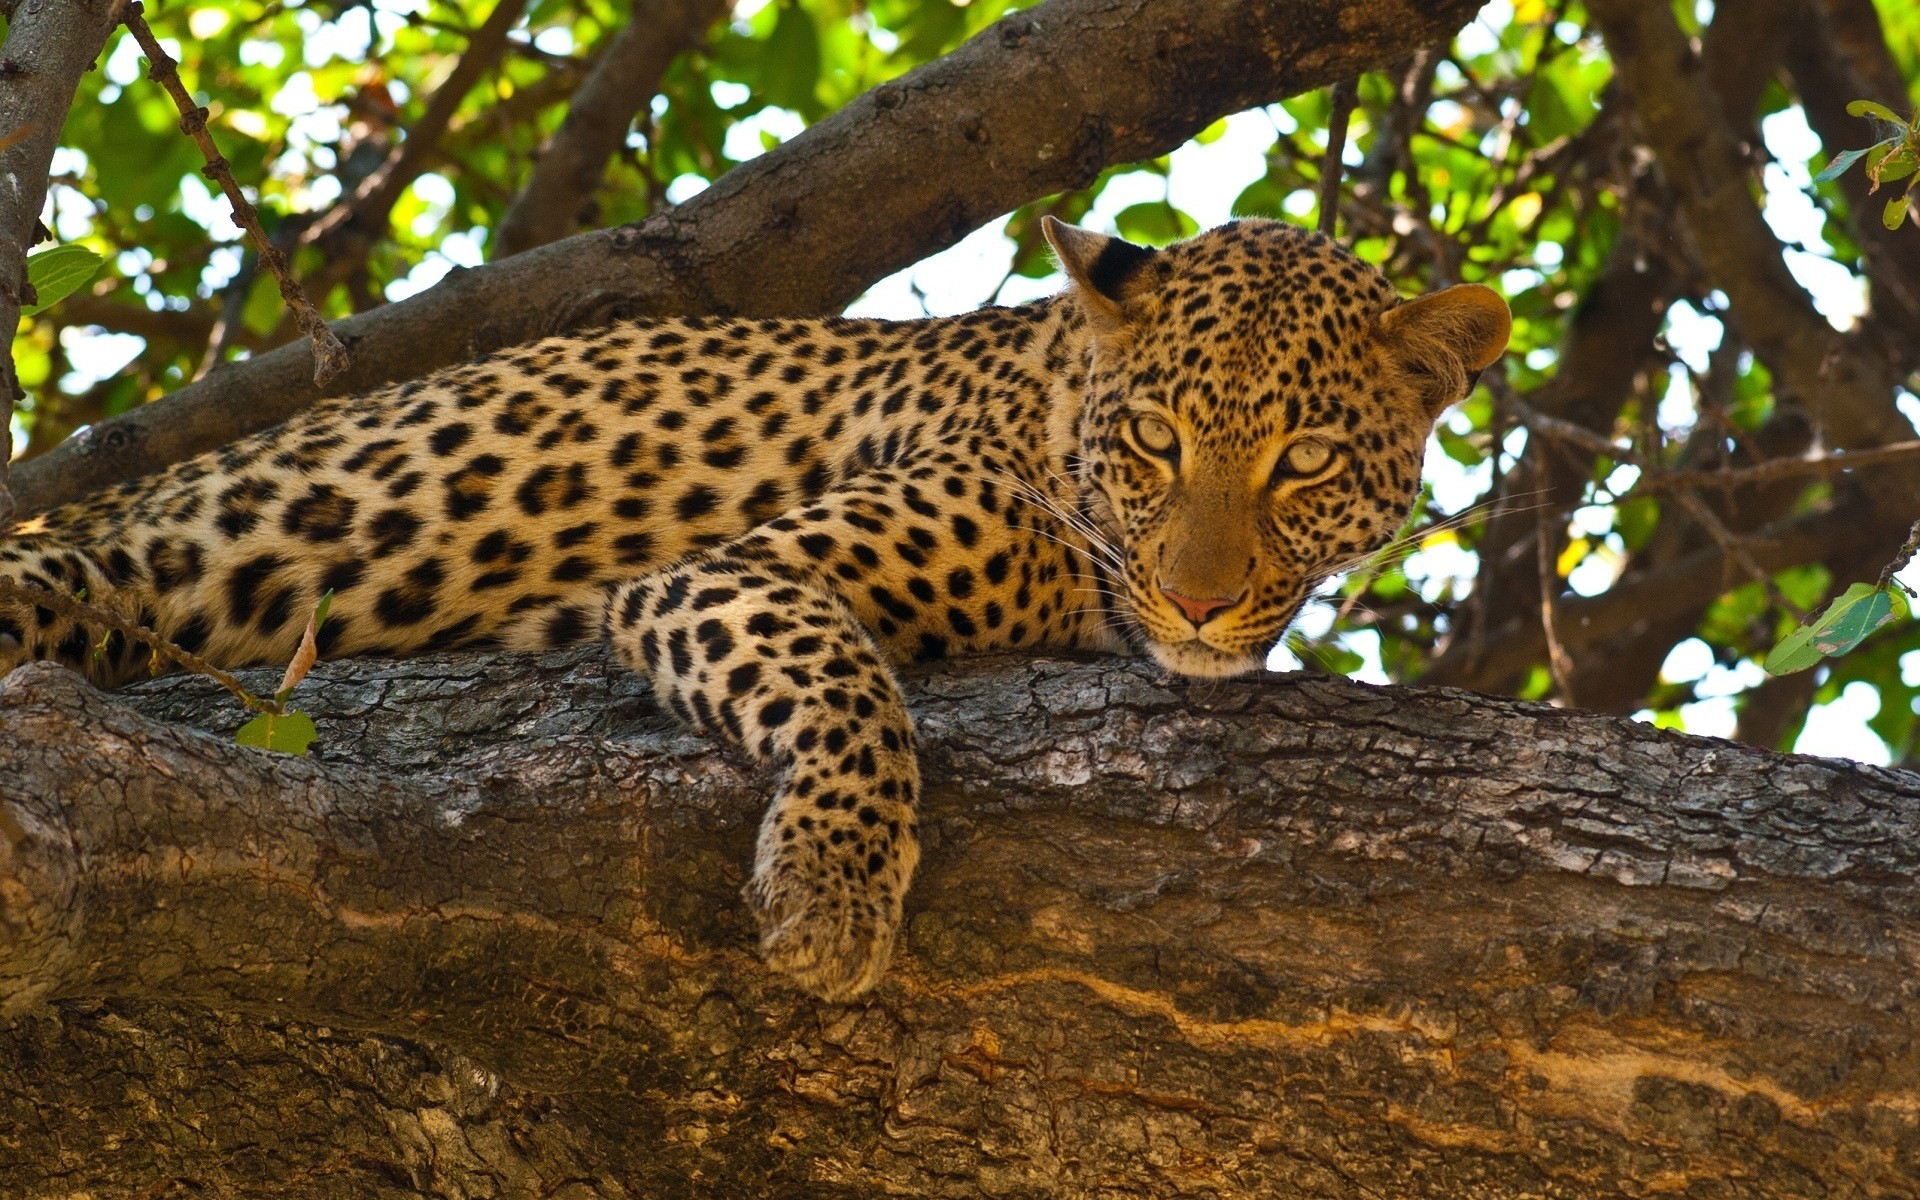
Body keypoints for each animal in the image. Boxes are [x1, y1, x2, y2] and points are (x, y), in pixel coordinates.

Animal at [0, 219, 1505, 998]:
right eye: (1156, 443)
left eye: (1305, 461)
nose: (1198, 601)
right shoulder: (734, 573)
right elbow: (853, 691)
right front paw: (833, 892)